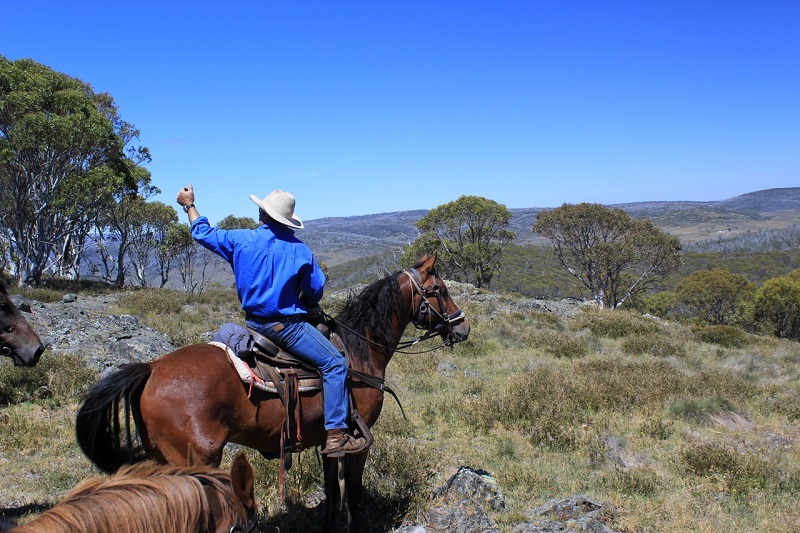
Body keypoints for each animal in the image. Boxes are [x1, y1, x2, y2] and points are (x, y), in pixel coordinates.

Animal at [75, 256, 468, 528]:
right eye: (442, 290)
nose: (462, 327)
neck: (361, 350)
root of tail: (151, 369)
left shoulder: (330, 442)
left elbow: (332, 492)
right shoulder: (359, 441)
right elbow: (353, 495)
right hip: (195, 460)